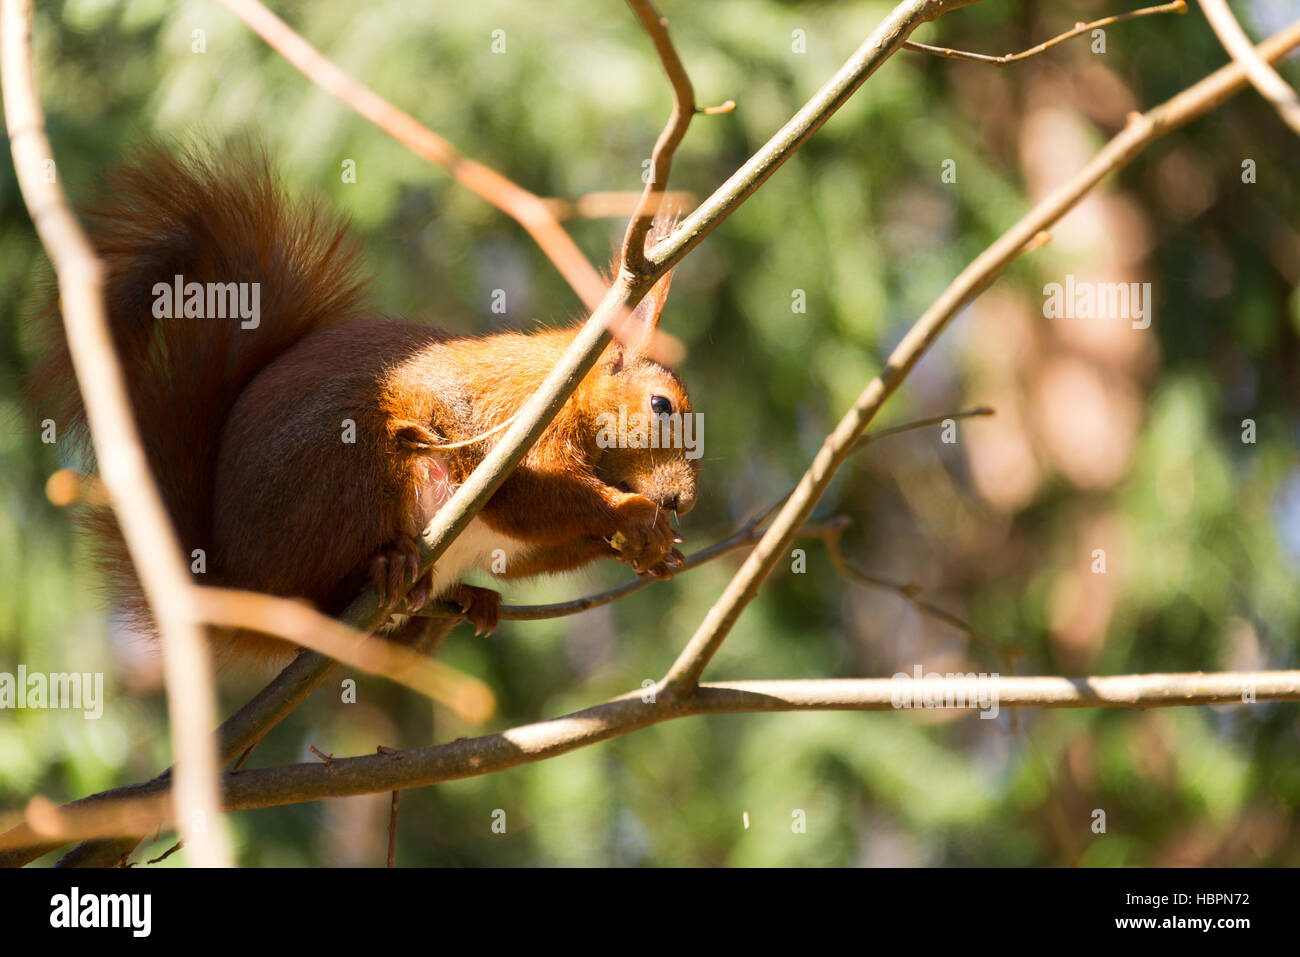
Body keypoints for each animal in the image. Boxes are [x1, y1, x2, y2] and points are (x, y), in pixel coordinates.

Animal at [35, 143, 696, 665]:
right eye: (661, 406)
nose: (684, 501)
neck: (570, 383)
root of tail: (245, 583)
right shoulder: (514, 417)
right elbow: (524, 496)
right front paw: (634, 513)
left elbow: (529, 549)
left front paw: (653, 548)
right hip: (347, 468)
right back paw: (389, 565)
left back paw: (464, 601)